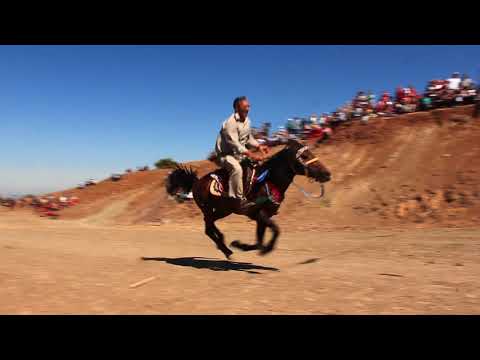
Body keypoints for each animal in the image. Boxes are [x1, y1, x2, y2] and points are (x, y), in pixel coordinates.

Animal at [165, 139, 330, 260]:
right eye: (304, 156)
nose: (327, 174)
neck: (269, 180)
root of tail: (196, 182)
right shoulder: (260, 214)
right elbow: (275, 231)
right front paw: (245, 246)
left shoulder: (261, 216)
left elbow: (260, 241)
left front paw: (242, 245)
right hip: (207, 208)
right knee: (208, 228)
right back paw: (226, 249)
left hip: (223, 210)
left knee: (210, 226)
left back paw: (224, 244)